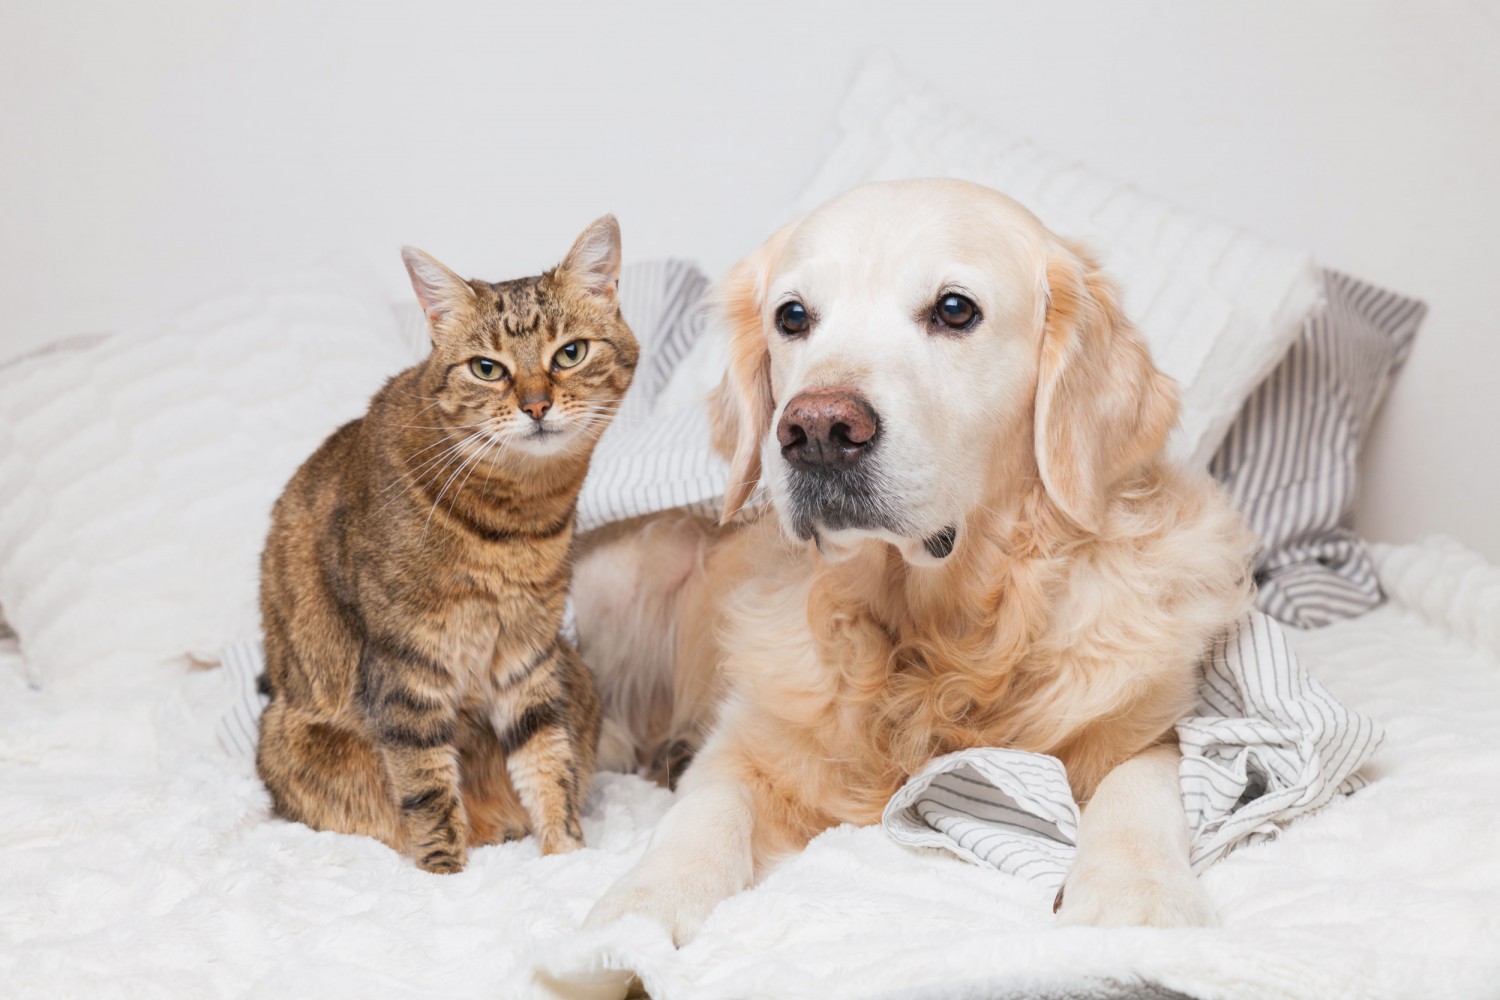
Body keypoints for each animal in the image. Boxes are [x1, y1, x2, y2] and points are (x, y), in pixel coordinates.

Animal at [258, 215, 633, 869]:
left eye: (570, 353)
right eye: (487, 368)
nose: (536, 404)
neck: (517, 521)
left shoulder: (529, 653)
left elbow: (548, 762)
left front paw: (566, 856)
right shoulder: (405, 665)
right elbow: (427, 787)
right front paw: (446, 873)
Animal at [573, 176, 1254, 941]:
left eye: (955, 309)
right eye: (792, 316)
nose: (816, 430)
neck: (938, 636)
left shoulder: (1152, 724)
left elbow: (1138, 788)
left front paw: (1137, 896)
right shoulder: (746, 742)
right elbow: (701, 813)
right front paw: (643, 902)